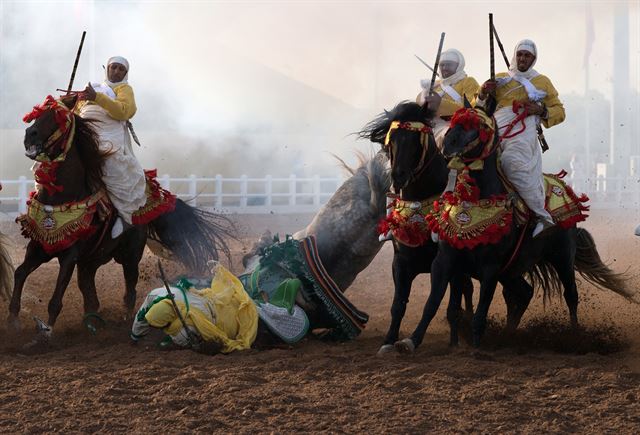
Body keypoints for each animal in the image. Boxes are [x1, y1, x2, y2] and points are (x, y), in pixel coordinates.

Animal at [8, 96, 234, 344]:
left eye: (57, 117)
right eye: (38, 114)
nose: (30, 134)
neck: (62, 197)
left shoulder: (69, 255)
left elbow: (56, 297)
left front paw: (46, 332)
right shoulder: (39, 246)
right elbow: (20, 273)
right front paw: (13, 321)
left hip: (130, 257)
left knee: (129, 292)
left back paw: (127, 323)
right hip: (91, 260)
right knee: (90, 294)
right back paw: (92, 324)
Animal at [360, 103, 476, 354]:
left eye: (416, 140)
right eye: (391, 139)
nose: (398, 175)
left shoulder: (447, 263)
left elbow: (439, 303)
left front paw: (418, 340)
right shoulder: (401, 262)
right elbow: (398, 304)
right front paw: (388, 341)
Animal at [398, 100, 632, 352]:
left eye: (481, 125)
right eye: (454, 120)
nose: (449, 144)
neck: (474, 204)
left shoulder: (490, 267)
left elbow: (481, 310)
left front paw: (477, 347)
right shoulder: (446, 261)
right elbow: (433, 303)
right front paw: (410, 341)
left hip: (562, 257)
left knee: (570, 294)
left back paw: (575, 337)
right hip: (513, 270)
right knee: (523, 294)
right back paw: (509, 336)